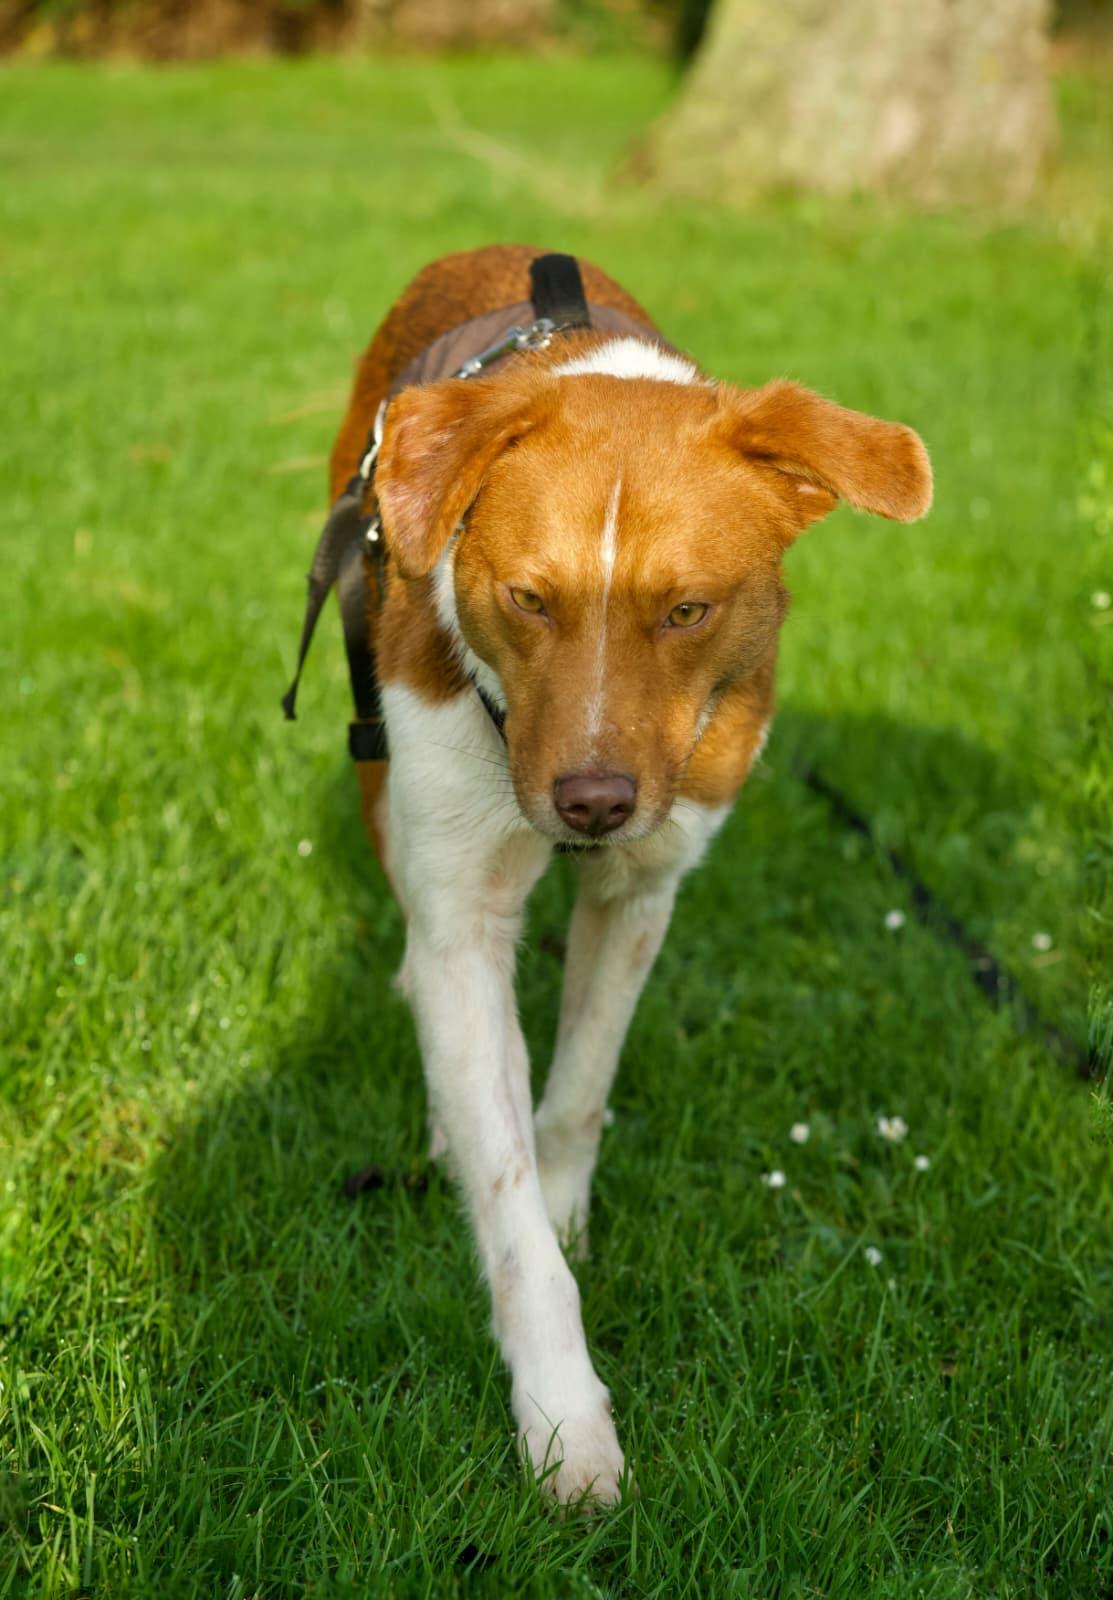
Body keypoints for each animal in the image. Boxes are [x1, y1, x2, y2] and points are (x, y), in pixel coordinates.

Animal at [323, 244, 931, 1506]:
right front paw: (563, 1416)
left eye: (688, 608)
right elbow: (503, 1179)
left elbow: (577, 1091)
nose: (591, 802)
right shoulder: (461, 887)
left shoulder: (645, 880)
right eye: (527, 597)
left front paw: (564, 1209)